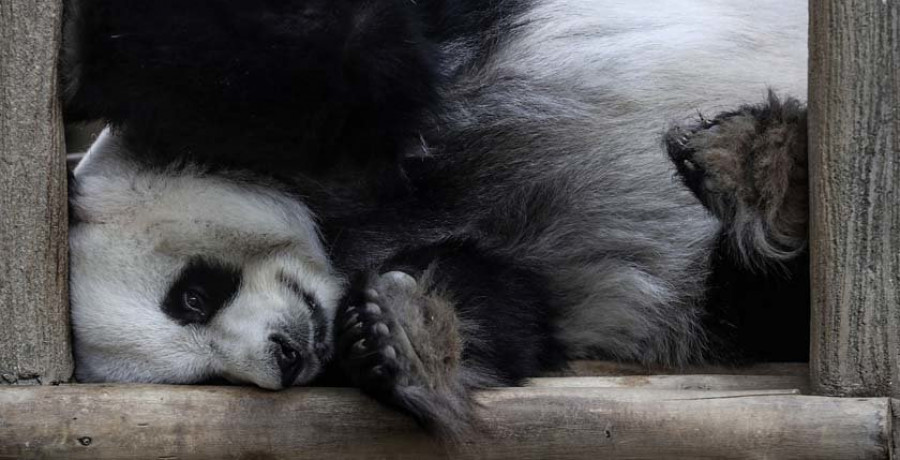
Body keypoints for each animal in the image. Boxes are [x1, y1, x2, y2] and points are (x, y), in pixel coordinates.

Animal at [61, 0, 808, 438]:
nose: (287, 357)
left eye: (192, 295)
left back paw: (765, 165)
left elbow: (345, 58)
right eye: (207, 379)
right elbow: (509, 309)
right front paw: (403, 335)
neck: (345, 230)